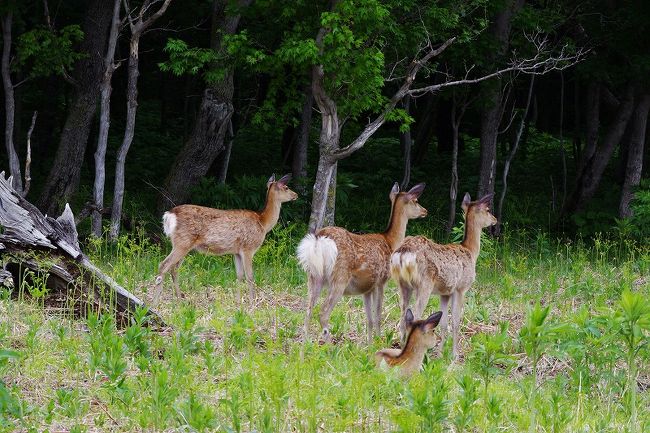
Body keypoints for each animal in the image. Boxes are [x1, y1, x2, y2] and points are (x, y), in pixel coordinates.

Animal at [153, 173, 298, 304]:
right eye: (286, 187)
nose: (296, 195)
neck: (263, 222)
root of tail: (169, 215)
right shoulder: (248, 248)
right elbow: (250, 276)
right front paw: (252, 303)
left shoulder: (237, 252)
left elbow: (239, 275)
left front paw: (238, 302)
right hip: (182, 242)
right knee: (164, 265)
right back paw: (155, 303)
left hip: (183, 244)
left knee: (174, 269)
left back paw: (179, 300)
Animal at [296, 182, 428, 344]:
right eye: (415, 201)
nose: (425, 211)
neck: (390, 242)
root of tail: (319, 238)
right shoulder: (380, 281)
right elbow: (378, 315)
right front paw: (378, 341)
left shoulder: (366, 289)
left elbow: (369, 319)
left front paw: (369, 343)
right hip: (339, 277)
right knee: (323, 312)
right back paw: (329, 345)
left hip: (314, 276)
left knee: (307, 311)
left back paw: (305, 345)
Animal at [390, 192, 496, 358]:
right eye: (487, 210)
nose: (495, 219)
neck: (471, 252)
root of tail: (403, 253)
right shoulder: (460, 288)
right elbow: (456, 321)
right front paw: (454, 355)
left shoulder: (445, 292)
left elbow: (444, 323)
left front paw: (440, 355)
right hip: (424, 283)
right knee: (416, 314)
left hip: (402, 284)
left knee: (402, 313)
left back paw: (401, 348)